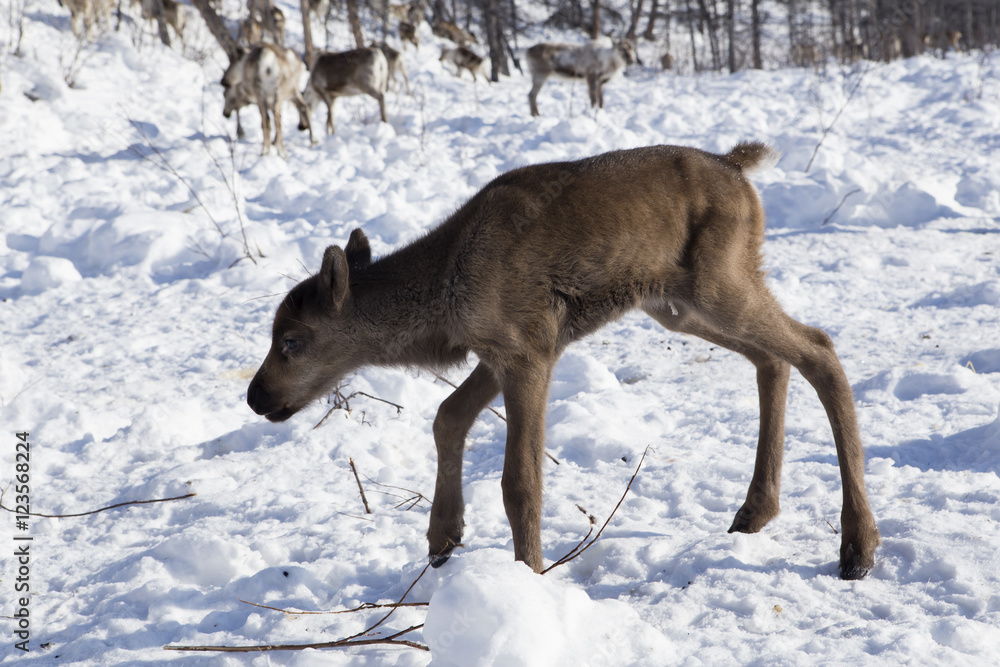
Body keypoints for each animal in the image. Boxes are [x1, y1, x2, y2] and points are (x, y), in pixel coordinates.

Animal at [246, 141, 881, 582]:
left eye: (292, 340)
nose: (256, 396)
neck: (444, 289)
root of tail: (739, 167)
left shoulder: (527, 352)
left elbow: (520, 481)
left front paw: (529, 573)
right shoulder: (504, 353)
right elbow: (448, 417)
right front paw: (443, 539)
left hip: (717, 286)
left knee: (819, 348)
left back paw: (857, 547)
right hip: (677, 305)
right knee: (774, 360)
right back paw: (755, 511)